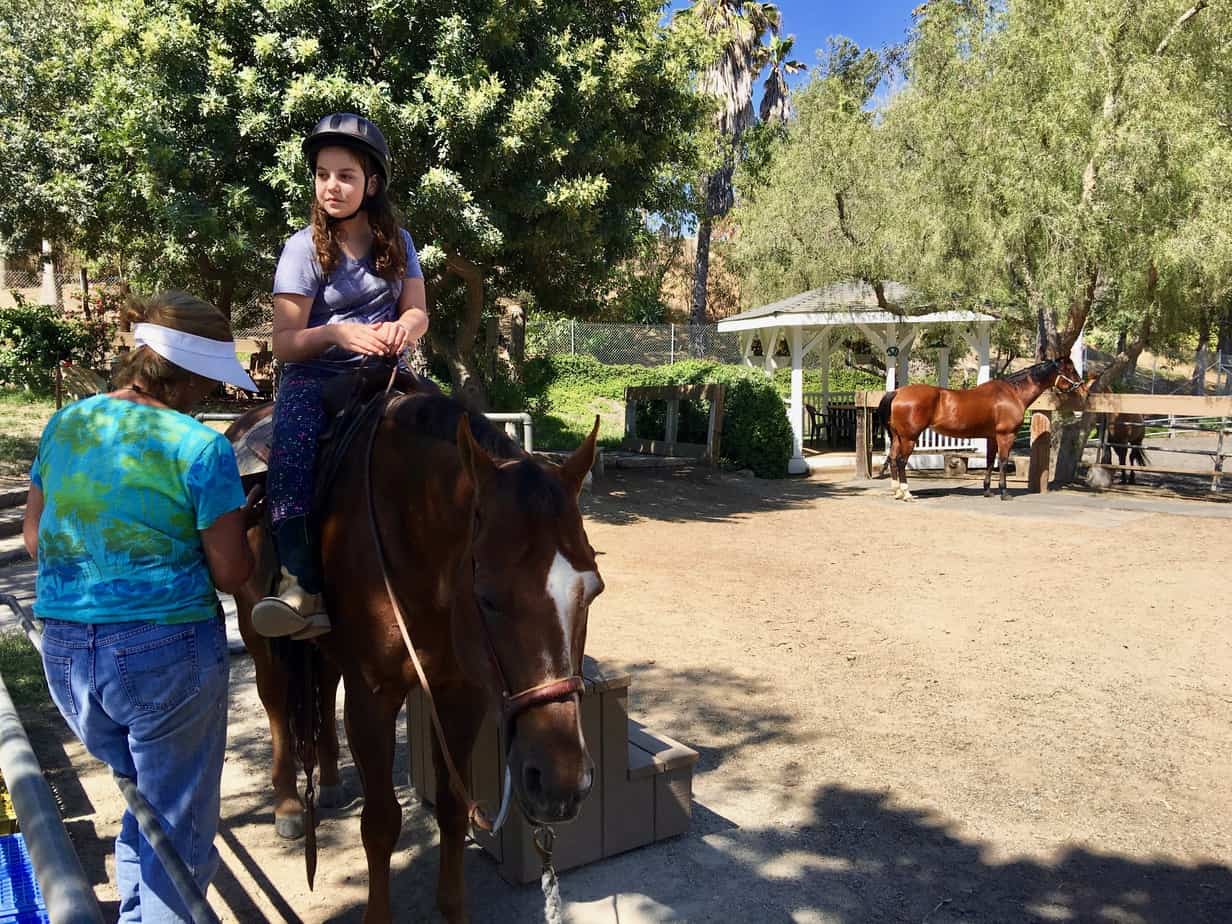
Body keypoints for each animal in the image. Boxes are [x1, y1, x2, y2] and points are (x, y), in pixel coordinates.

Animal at [229, 391, 603, 924]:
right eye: (487, 597)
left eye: (592, 591)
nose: (561, 783)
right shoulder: (373, 697)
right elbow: (382, 822)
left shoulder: (459, 692)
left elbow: (452, 806)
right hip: (255, 628)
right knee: (277, 702)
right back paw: (286, 806)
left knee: (322, 686)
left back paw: (329, 781)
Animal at [877, 357, 1079, 500]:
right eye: (1069, 369)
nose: (1080, 385)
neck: (1012, 393)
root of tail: (897, 392)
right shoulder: (1006, 435)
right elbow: (1003, 461)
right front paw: (1004, 493)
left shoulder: (992, 437)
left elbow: (990, 461)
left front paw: (987, 490)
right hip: (909, 438)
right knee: (901, 461)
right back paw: (907, 493)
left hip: (898, 437)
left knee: (893, 459)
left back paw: (897, 492)